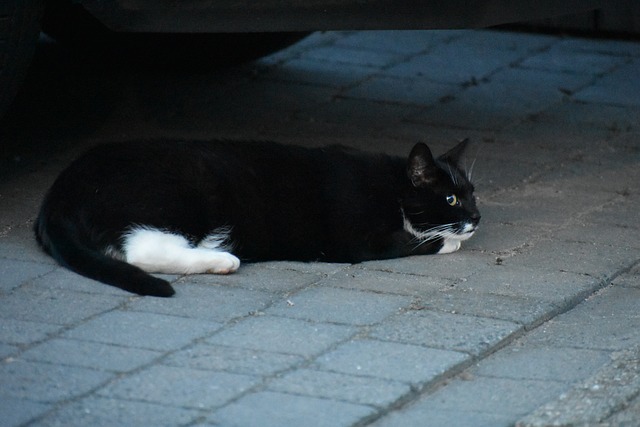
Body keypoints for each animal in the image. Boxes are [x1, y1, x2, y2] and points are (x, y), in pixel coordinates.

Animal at [32, 140, 478, 298]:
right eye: (451, 198)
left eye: (474, 193)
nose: (476, 216)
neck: (390, 186)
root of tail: (58, 193)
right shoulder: (358, 239)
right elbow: (417, 240)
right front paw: (450, 239)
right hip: (178, 194)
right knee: (141, 249)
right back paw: (223, 259)